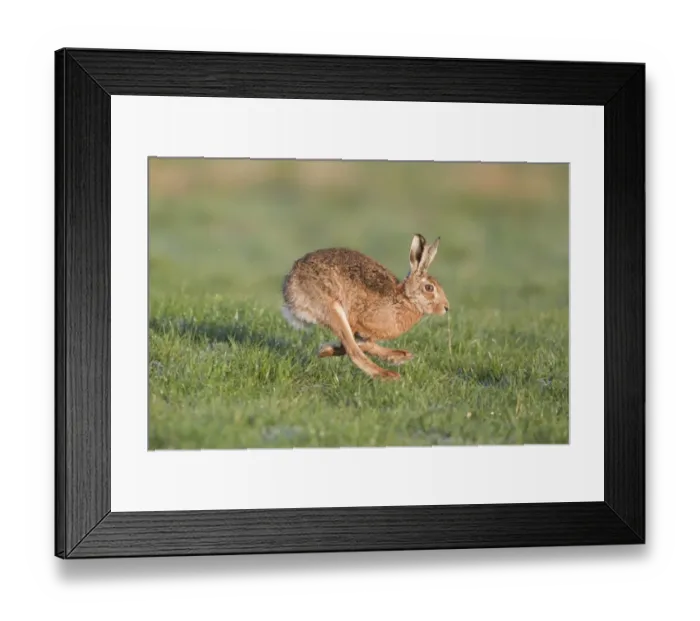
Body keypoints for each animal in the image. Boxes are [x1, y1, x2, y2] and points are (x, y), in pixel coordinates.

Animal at [281, 234, 449, 380]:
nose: (446, 308)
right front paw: (324, 350)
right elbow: (356, 345)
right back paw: (388, 375)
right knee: (353, 351)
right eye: (429, 288)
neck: (404, 299)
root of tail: (290, 287)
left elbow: (363, 344)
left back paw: (400, 355)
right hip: (333, 309)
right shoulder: (358, 322)